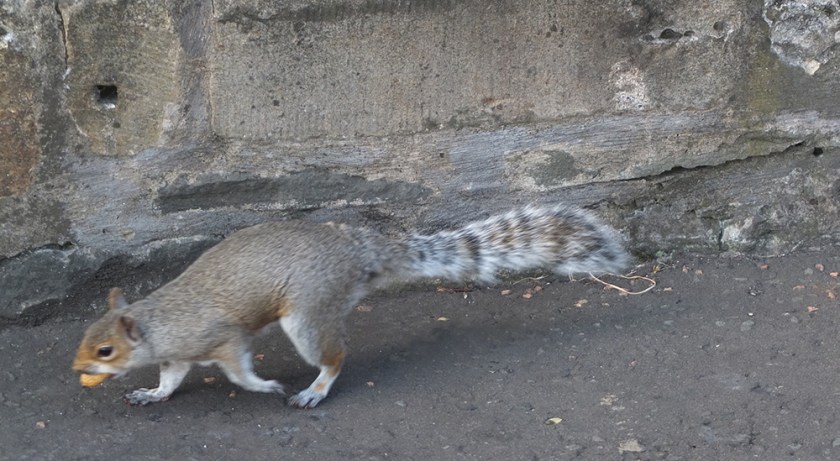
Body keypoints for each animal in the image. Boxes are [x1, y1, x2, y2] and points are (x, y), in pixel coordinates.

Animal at [72, 205, 629, 408]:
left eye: (104, 351)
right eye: (87, 339)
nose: (78, 369)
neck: (157, 320)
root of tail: (357, 252)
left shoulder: (222, 338)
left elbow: (239, 370)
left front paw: (265, 386)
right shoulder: (175, 354)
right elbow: (169, 379)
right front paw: (151, 394)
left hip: (306, 315)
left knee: (335, 356)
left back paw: (314, 391)